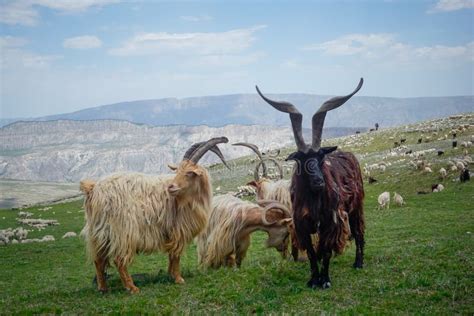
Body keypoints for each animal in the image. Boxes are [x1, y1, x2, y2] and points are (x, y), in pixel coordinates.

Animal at [80, 138, 229, 294]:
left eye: (190, 173)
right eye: (178, 171)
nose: (171, 187)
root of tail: (94, 190)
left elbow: (171, 256)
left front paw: (170, 275)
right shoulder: (179, 230)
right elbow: (176, 255)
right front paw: (178, 279)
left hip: (99, 233)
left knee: (98, 260)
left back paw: (103, 288)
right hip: (123, 231)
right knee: (119, 260)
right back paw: (132, 288)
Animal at [258, 78, 364, 288]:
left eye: (321, 156)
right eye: (301, 159)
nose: (318, 182)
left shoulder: (330, 223)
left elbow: (326, 251)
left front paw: (325, 280)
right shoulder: (302, 226)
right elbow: (313, 253)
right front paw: (314, 280)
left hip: (356, 208)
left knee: (359, 232)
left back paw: (358, 263)